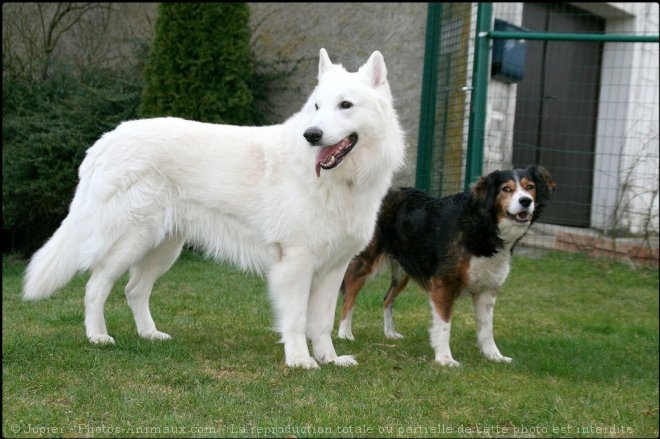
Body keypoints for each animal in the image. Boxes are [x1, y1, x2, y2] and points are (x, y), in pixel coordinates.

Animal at [21, 49, 408, 368]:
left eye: (345, 105)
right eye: (316, 107)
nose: (311, 135)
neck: (340, 182)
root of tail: (105, 141)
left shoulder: (333, 267)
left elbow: (323, 320)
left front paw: (329, 358)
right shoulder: (296, 262)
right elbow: (297, 319)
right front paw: (300, 360)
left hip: (164, 247)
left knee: (134, 290)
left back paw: (150, 334)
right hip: (132, 239)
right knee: (96, 285)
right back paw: (98, 336)